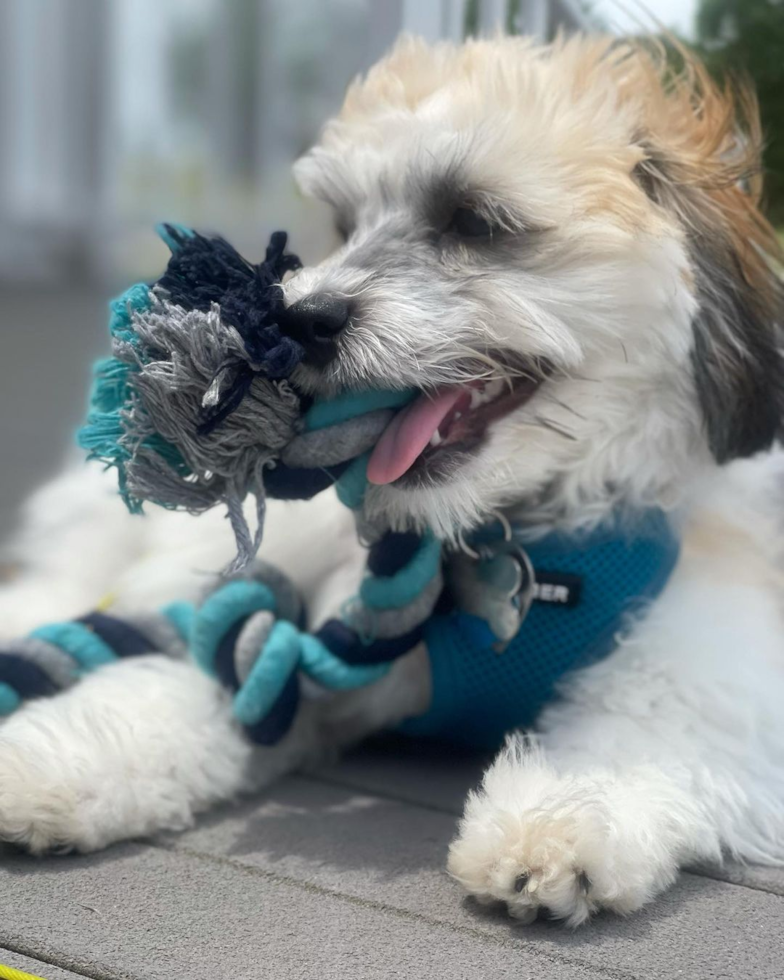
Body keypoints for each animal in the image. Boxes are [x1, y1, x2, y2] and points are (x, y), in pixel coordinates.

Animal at [1, 36, 784, 928]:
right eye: (346, 227)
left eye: (475, 221)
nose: (303, 318)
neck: (503, 535)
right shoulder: (292, 639)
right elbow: (175, 686)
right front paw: (48, 762)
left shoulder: (713, 660)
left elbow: (644, 725)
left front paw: (554, 827)